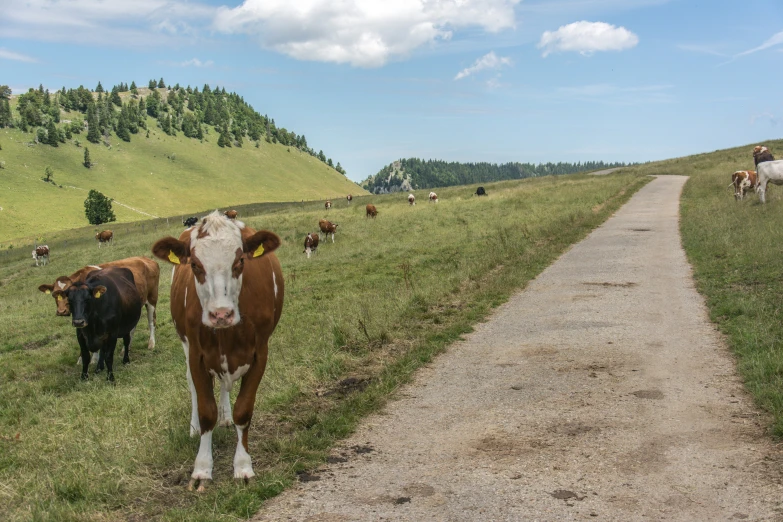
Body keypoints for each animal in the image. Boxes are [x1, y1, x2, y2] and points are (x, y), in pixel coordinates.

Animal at [151, 208, 284, 488]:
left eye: (240, 261)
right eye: (194, 265)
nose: (220, 314)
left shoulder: (260, 354)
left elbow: (243, 411)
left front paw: (243, 465)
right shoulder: (196, 355)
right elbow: (205, 412)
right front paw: (202, 468)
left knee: (224, 386)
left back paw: (225, 415)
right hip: (186, 344)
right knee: (192, 385)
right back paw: (194, 428)